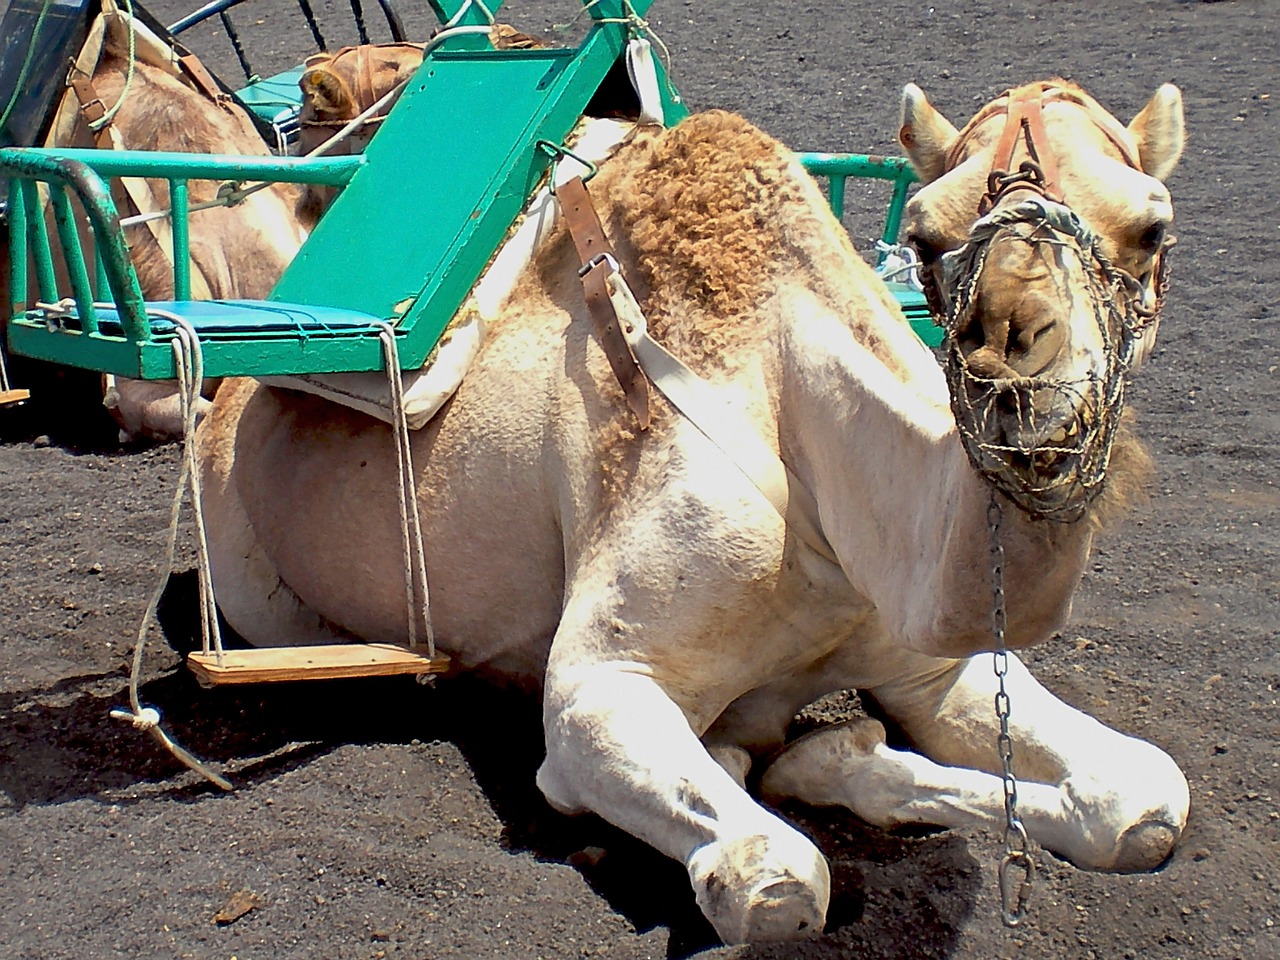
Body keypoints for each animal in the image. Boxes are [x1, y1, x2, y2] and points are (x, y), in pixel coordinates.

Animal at [192, 79, 1187, 942]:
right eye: (926, 231)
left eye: (1151, 226)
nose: (1015, 353)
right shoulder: (600, 686)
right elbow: (778, 882)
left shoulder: (930, 666)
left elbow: (1147, 801)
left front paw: (832, 759)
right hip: (257, 595)